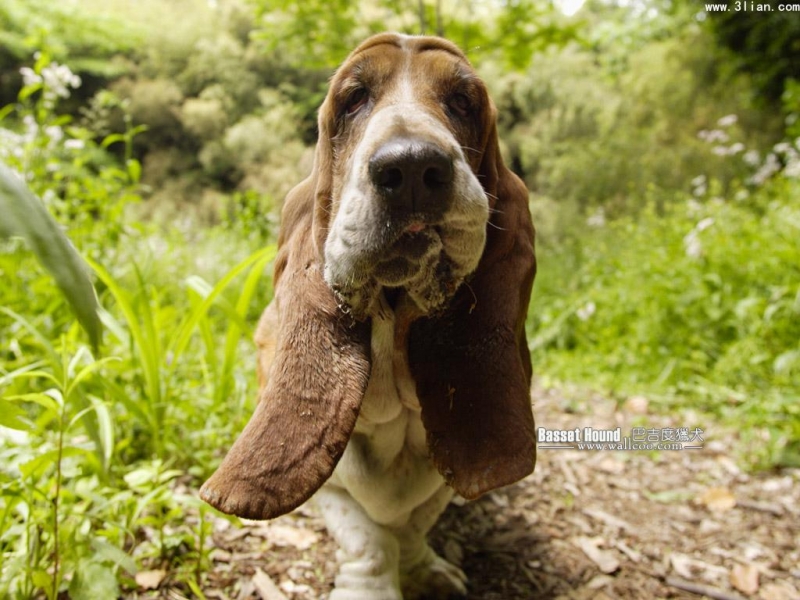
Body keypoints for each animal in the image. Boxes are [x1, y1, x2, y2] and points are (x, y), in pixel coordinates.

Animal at [200, 31, 536, 600]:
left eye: (462, 101)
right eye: (353, 99)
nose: (413, 168)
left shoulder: (437, 481)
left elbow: (413, 525)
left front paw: (425, 569)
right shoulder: (332, 488)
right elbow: (367, 538)